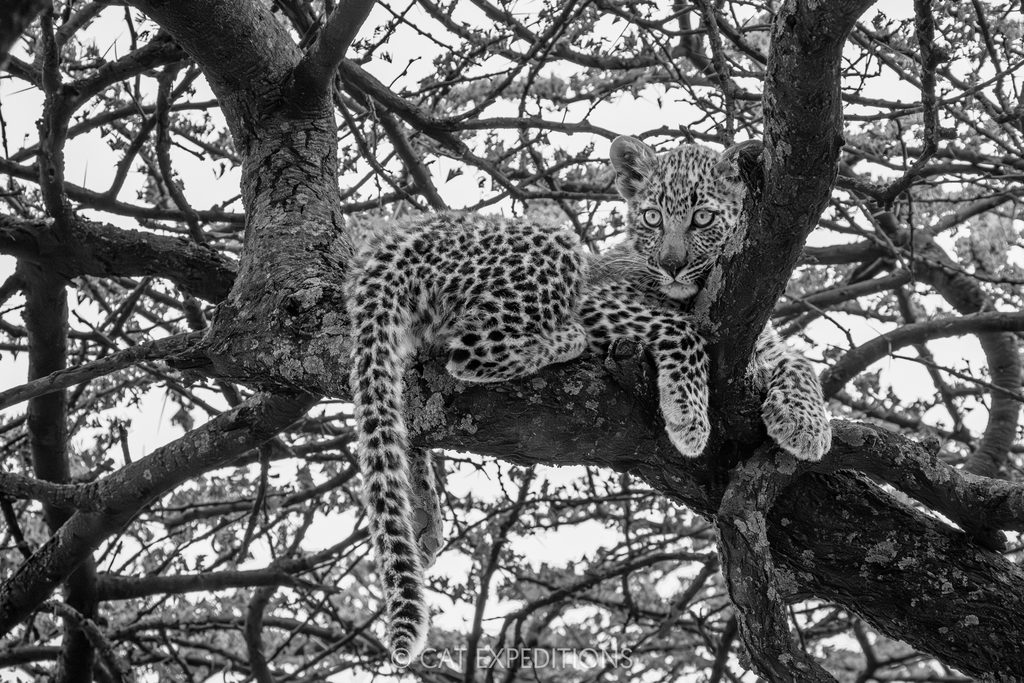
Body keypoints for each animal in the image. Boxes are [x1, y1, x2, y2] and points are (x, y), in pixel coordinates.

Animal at [345, 135, 832, 662]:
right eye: (652, 217)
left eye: (703, 217)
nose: (672, 264)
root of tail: (396, 240)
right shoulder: (604, 300)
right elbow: (680, 327)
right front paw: (688, 417)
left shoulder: (761, 343)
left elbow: (799, 363)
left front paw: (807, 426)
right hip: (557, 251)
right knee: (468, 354)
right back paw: (567, 340)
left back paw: (423, 519)